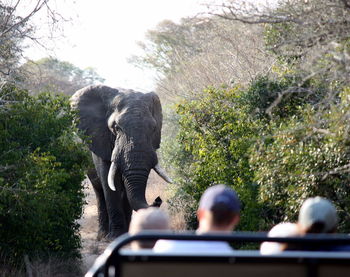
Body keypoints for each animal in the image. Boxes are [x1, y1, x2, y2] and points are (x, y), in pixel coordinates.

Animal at [70, 84, 172, 237]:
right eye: (116, 128)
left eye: (154, 128)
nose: (158, 199)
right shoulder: (100, 138)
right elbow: (110, 184)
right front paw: (114, 237)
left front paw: (124, 235)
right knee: (99, 190)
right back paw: (102, 236)